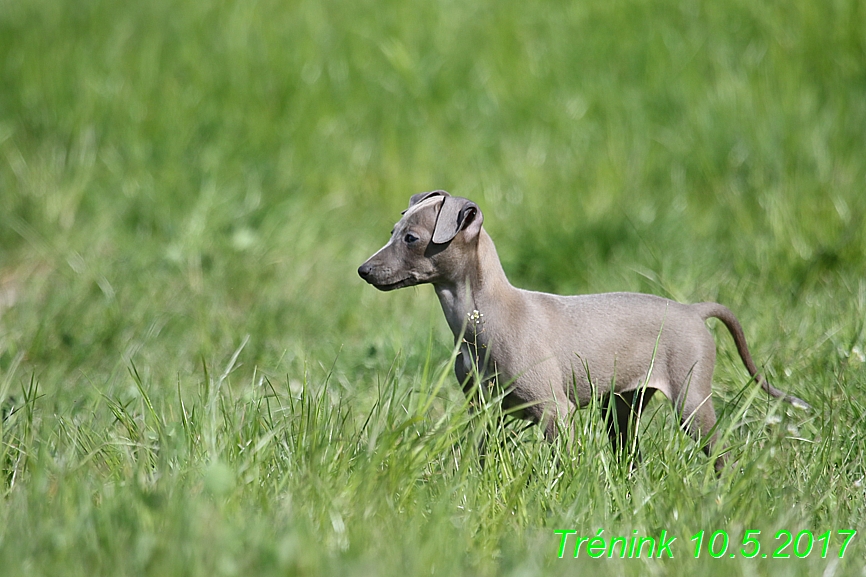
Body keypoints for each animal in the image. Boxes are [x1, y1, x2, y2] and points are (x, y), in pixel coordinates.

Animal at [354, 191, 808, 470]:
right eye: (393, 233)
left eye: (411, 238)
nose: (363, 270)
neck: (486, 316)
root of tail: (692, 310)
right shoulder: (484, 409)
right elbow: (484, 457)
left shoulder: (555, 411)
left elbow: (560, 464)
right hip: (622, 406)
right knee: (630, 456)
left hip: (691, 400)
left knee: (719, 454)